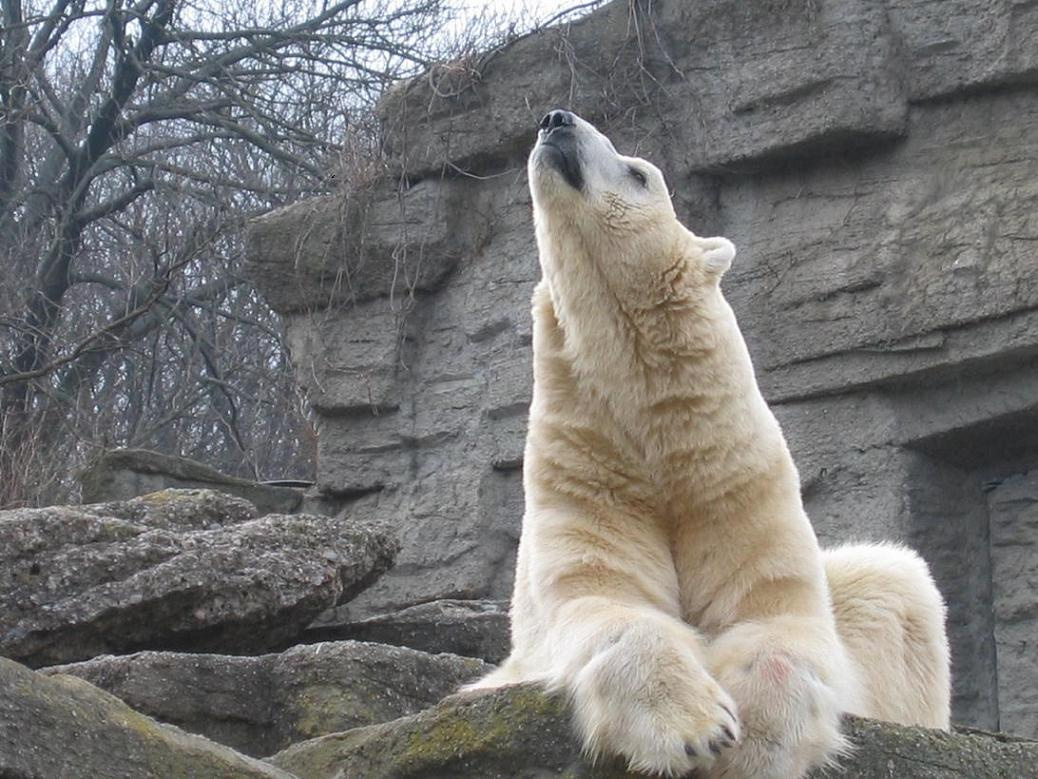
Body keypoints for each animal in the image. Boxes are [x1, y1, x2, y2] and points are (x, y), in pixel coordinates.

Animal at [465, 109, 951, 778]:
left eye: (638, 172)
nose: (556, 120)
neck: (664, 437)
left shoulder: (736, 477)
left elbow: (773, 613)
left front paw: (749, 748)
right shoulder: (586, 468)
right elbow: (604, 598)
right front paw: (692, 727)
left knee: (892, 578)